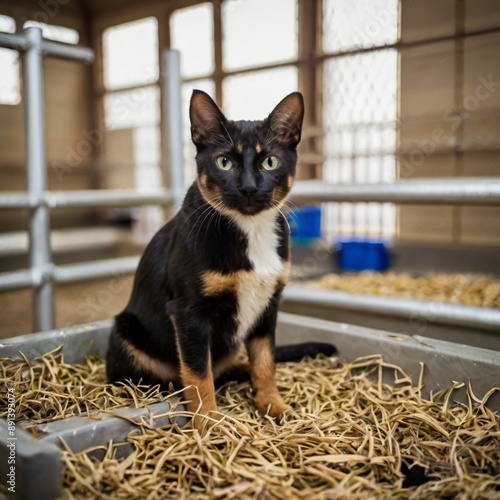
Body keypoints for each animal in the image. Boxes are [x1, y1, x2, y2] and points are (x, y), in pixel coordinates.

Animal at [109, 91, 336, 434]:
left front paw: (273, 405)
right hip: (126, 331)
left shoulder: (268, 305)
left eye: (270, 161)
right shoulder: (188, 312)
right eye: (224, 162)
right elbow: (197, 373)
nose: (249, 187)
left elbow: (265, 361)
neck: (249, 230)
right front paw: (208, 424)